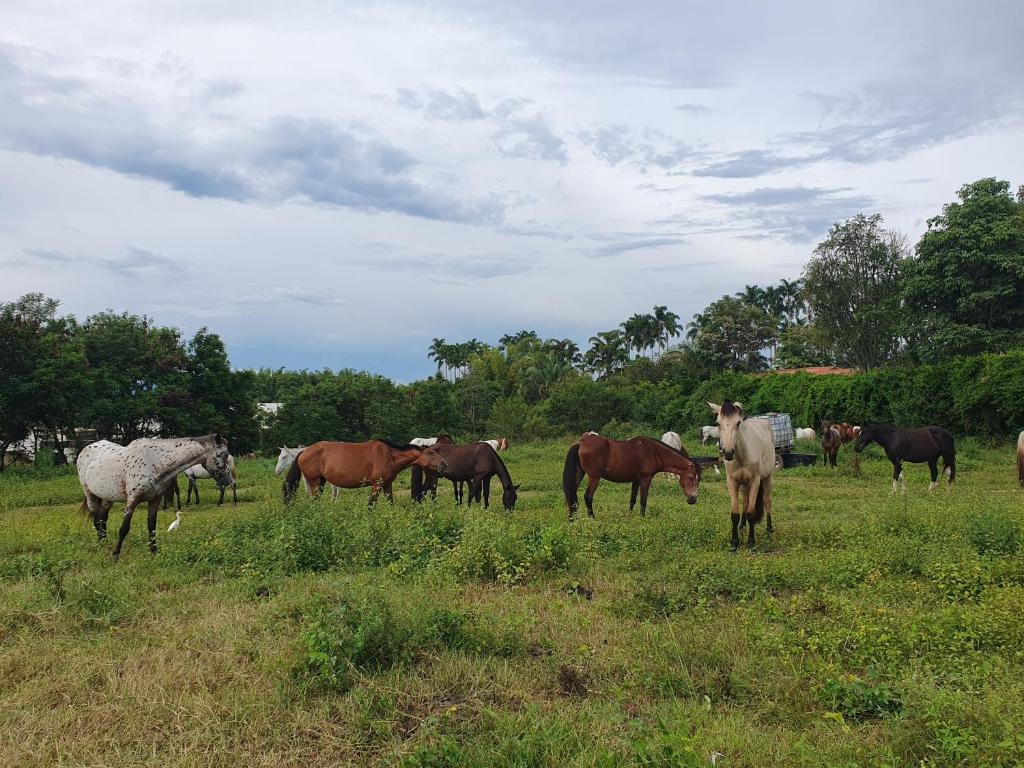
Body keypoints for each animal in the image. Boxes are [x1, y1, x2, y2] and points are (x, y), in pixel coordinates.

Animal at [77, 435, 232, 557]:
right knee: (96, 519)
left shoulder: (155, 500)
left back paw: (104, 542)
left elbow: (152, 527)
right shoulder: (132, 500)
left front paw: (153, 552)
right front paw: (115, 554)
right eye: (224, 455)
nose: (228, 480)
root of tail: (85, 449)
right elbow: (124, 528)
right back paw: (101, 545)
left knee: (102, 519)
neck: (154, 461)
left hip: (108, 498)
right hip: (89, 493)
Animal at [283, 440, 422, 505]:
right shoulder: (377, 484)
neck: (389, 455)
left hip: (321, 481)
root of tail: (303, 452)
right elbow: (371, 504)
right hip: (314, 482)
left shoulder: (387, 484)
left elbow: (390, 502)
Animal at [562, 433, 701, 519]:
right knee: (588, 497)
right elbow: (643, 500)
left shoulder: (636, 481)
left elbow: (632, 500)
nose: (693, 499)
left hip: (579, 474)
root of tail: (581, 443)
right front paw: (642, 518)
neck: (654, 452)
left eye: (698, 480)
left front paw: (629, 516)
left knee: (572, 495)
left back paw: (573, 518)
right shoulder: (646, 479)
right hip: (594, 478)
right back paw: (592, 518)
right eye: (691, 477)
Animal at [710, 401, 776, 550]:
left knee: (767, 501)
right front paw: (734, 542)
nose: (728, 452)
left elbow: (751, 513)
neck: (741, 455)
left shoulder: (755, 481)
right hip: (744, 484)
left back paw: (769, 529)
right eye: (717, 423)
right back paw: (742, 526)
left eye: (738, 423)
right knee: (745, 501)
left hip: (767, 478)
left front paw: (751, 542)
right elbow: (735, 513)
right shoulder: (732, 482)